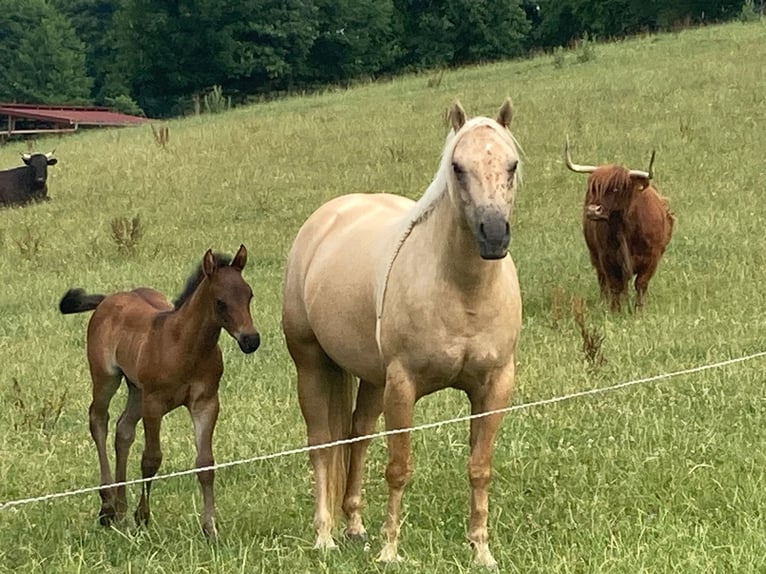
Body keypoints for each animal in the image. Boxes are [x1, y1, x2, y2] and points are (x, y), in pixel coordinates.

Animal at [59, 245, 260, 537]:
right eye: (220, 301)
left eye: (249, 294)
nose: (251, 340)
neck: (184, 347)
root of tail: (109, 299)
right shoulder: (154, 404)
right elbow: (151, 459)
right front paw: (143, 516)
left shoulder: (206, 402)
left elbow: (206, 463)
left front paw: (210, 528)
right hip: (106, 378)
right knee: (99, 420)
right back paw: (108, 506)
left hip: (136, 390)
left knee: (123, 429)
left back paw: (120, 508)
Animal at [282, 99, 523, 567]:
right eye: (457, 167)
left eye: (512, 164)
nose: (493, 235)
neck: (462, 292)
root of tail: (326, 219)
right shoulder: (403, 385)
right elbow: (398, 468)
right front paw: (390, 549)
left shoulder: (494, 386)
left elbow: (479, 468)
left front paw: (481, 550)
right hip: (312, 366)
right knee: (322, 444)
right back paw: (325, 536)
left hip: (371, 379)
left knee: (356, 436)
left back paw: (354, 525)